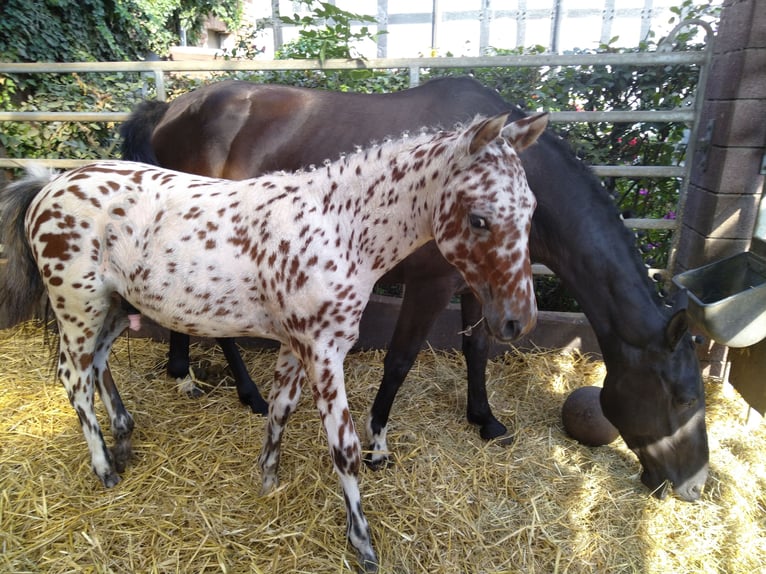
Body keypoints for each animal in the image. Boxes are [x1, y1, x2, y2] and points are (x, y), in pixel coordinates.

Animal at [121, 77, 712, 504]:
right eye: (684, 397)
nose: (695, 486)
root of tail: (172, 108)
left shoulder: (479, 283)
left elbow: (478, 347)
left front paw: (485, 419)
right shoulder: (432, 285)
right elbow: (401, 359)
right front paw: (378, 445)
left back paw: (184, 372)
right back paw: (244, 391)